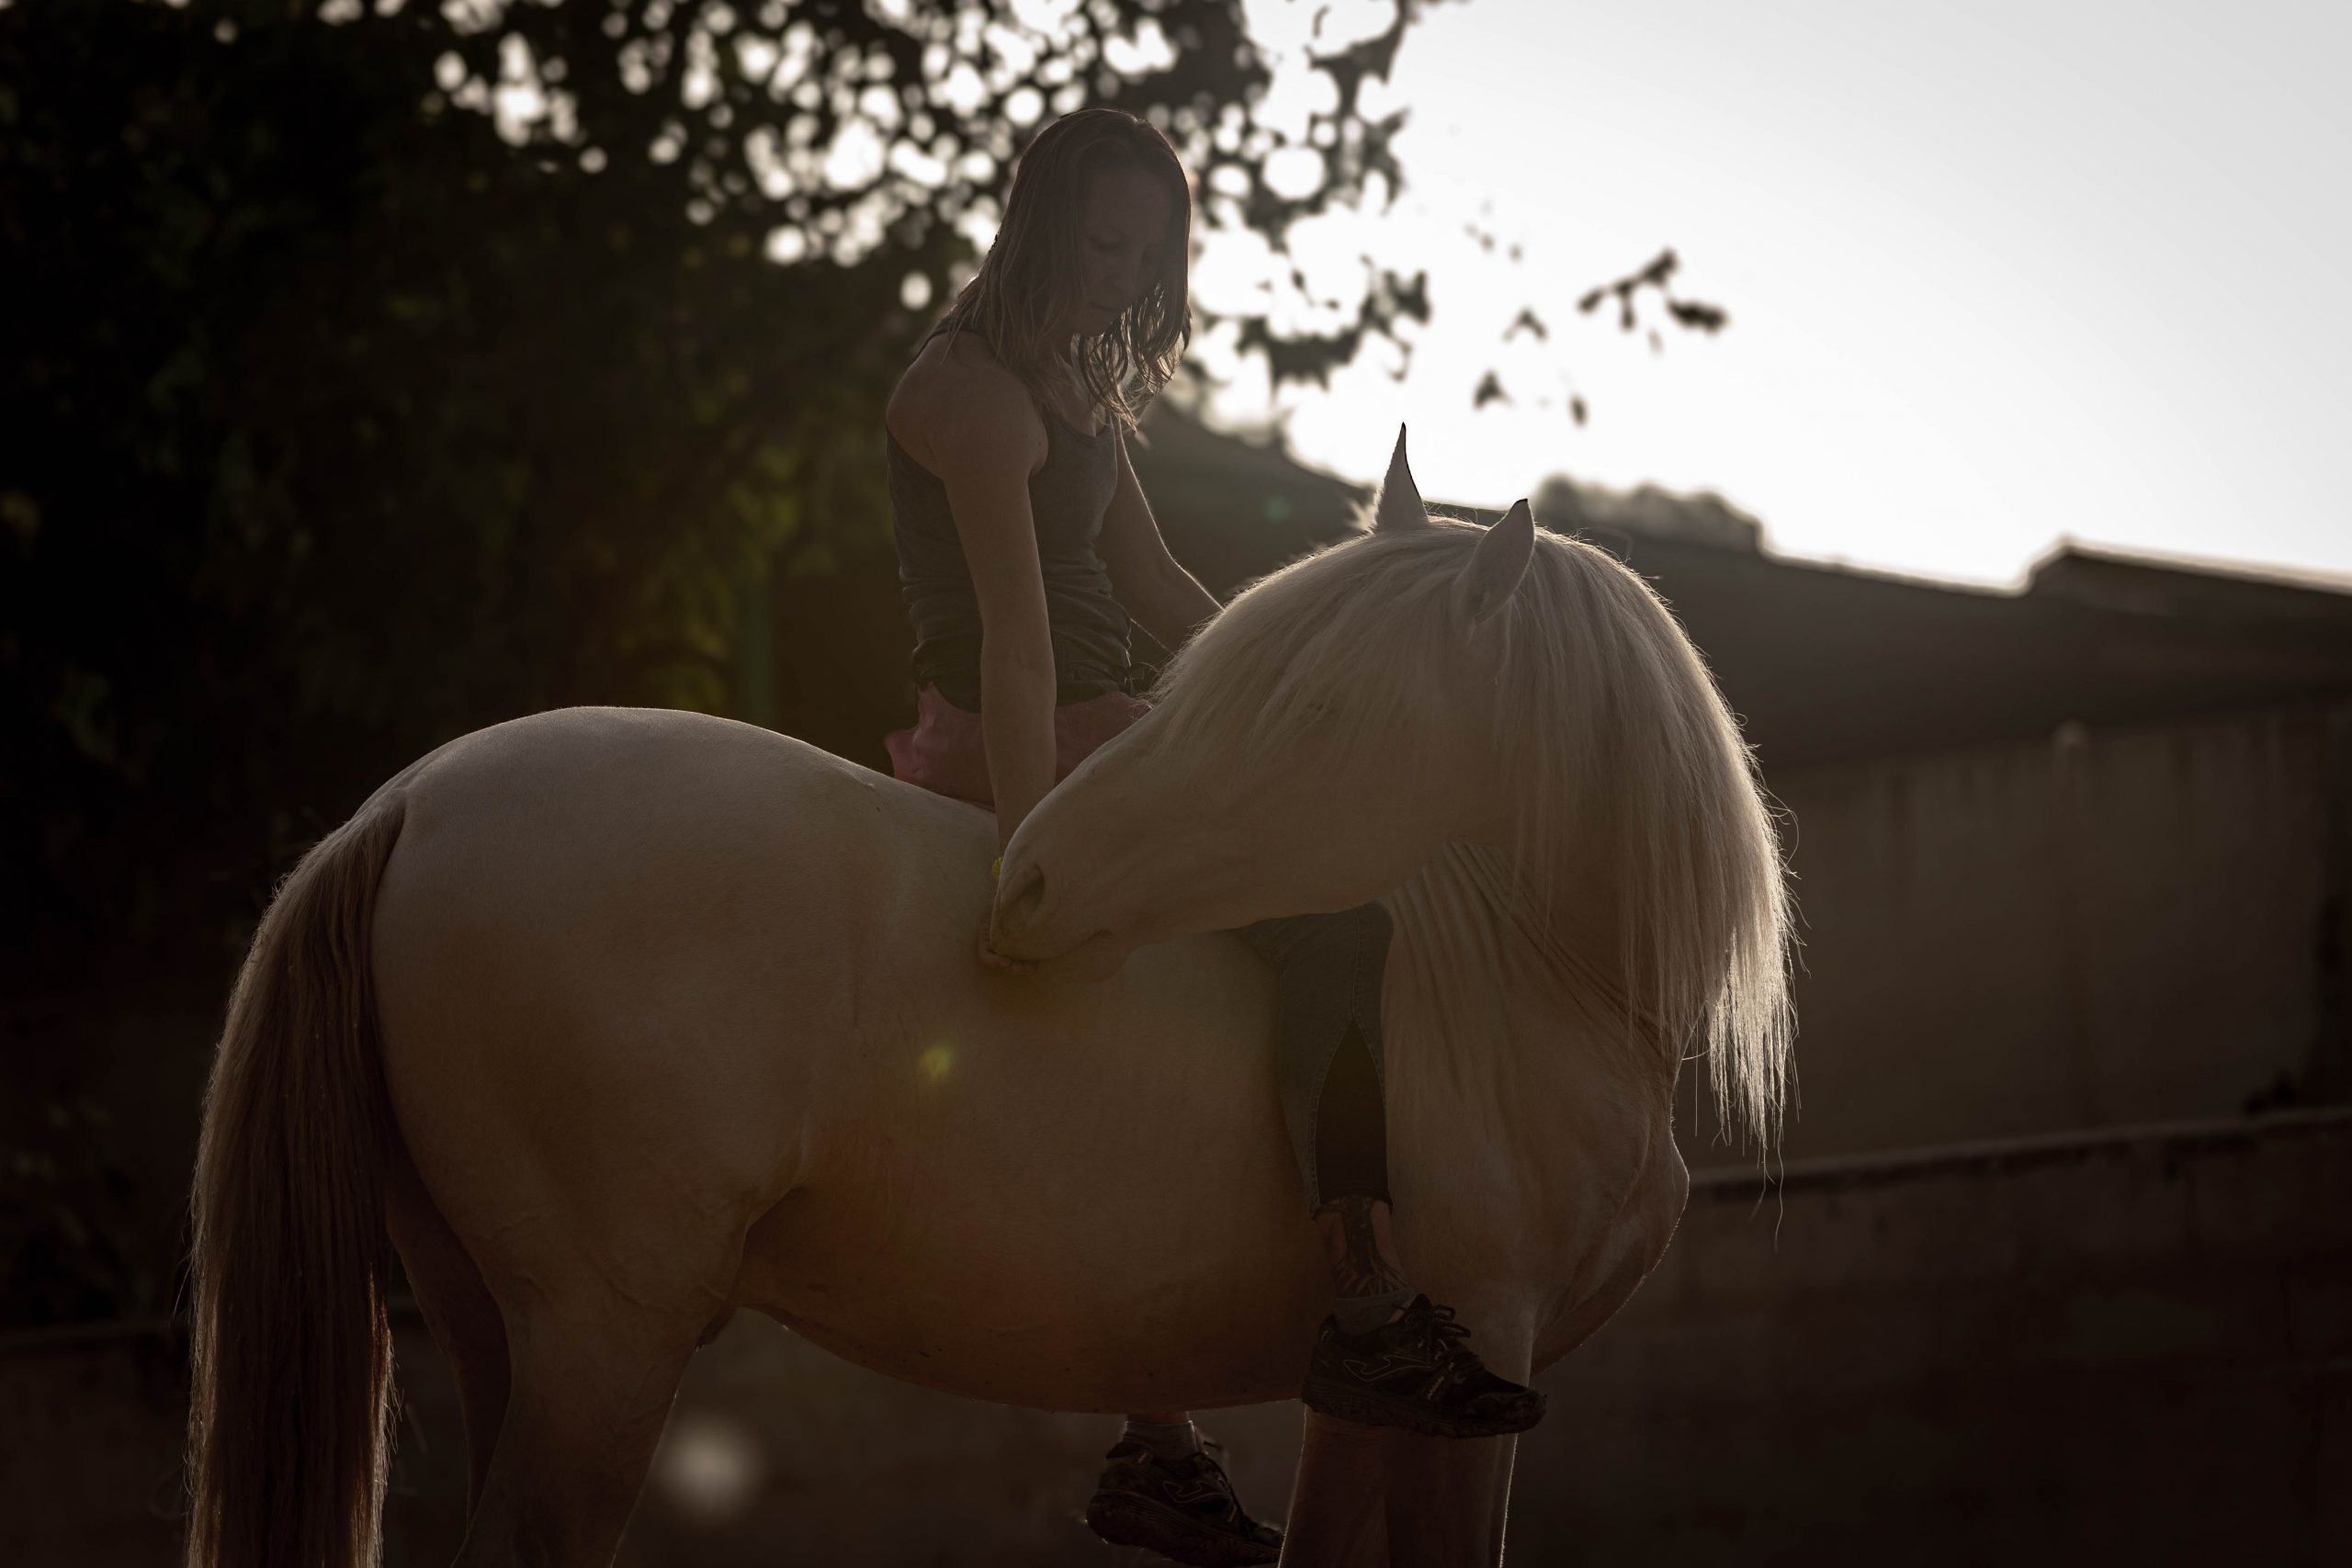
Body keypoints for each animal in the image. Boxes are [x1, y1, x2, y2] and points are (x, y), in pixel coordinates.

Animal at [181, 430, 1791, 1568]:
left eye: (1326, 713)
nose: (1034, 880)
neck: (1532, 970)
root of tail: (407, 803)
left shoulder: (1360, 1411)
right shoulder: (1486, 1359)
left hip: (492, 1322)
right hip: (601, 1340)